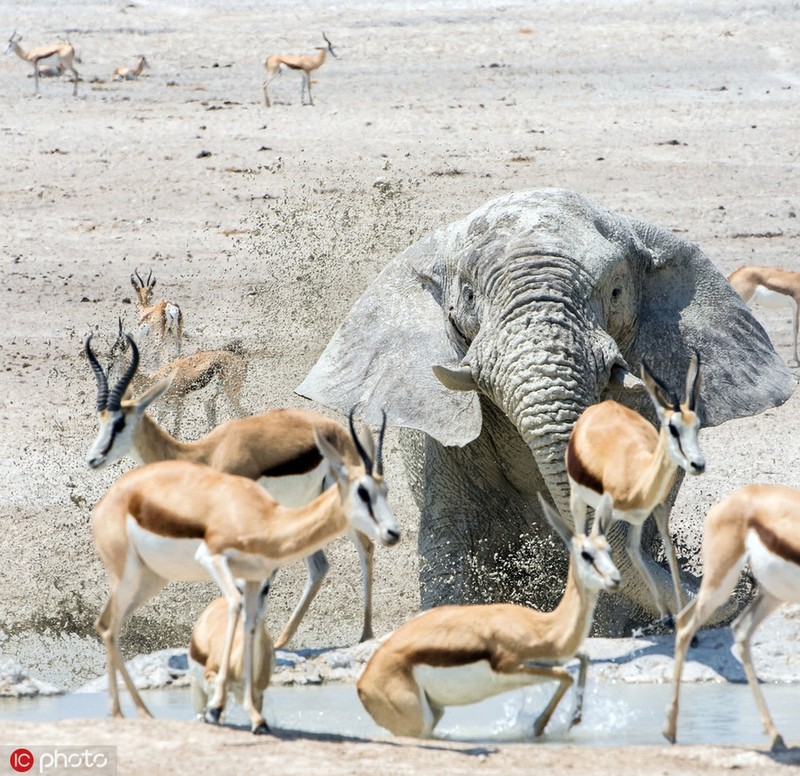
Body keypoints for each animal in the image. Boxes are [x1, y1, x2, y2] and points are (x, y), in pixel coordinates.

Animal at [358, 494, 624, 736]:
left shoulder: (554, 658)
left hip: (434, 714)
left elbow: (583, 658)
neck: (547, 627)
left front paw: (571, 720)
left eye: (609, 550)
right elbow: (566, 676)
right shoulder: (513, 666)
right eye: (586, 554)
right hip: (419, 726)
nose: (615, 580)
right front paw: (542, 726)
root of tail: (363, 683)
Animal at [564, 354, 704, 628]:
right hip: (578, 500)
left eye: (697, 426)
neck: (638, 474)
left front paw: (676, 616)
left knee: (630, 548)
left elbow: (662, 550)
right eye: (672, 428)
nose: (698, 464)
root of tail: (601, 406)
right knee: (581, 538)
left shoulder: (654, 509)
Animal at [664, 484, 800, 752]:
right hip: (722, 583)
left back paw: (775, 736)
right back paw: (670, 731)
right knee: (686, 625)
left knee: (737, 628)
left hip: (769, 593)